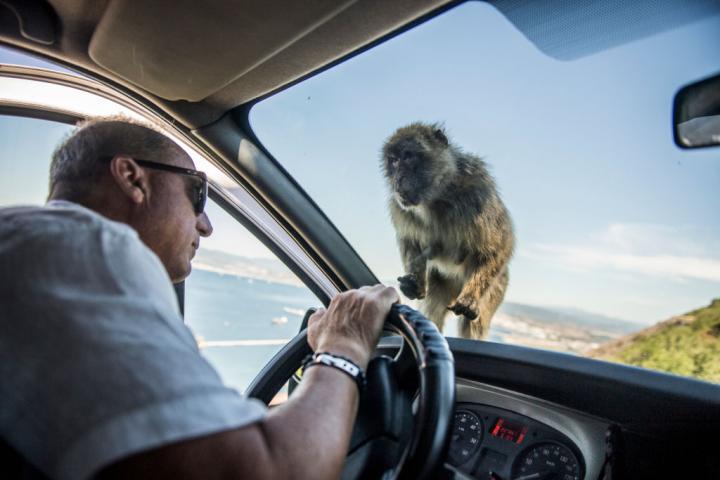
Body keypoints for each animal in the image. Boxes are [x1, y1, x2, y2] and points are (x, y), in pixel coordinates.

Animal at [381, 122, 514, 339]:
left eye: (408, 156)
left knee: (473, 323)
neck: (437, 197)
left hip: (498, 287)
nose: (397, 179)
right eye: (393, 161)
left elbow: (498, 247)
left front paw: (470, 298)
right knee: (434, 307)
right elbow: (409, 240)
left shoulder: (479, 194)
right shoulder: (398, 206)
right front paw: (414, 282)